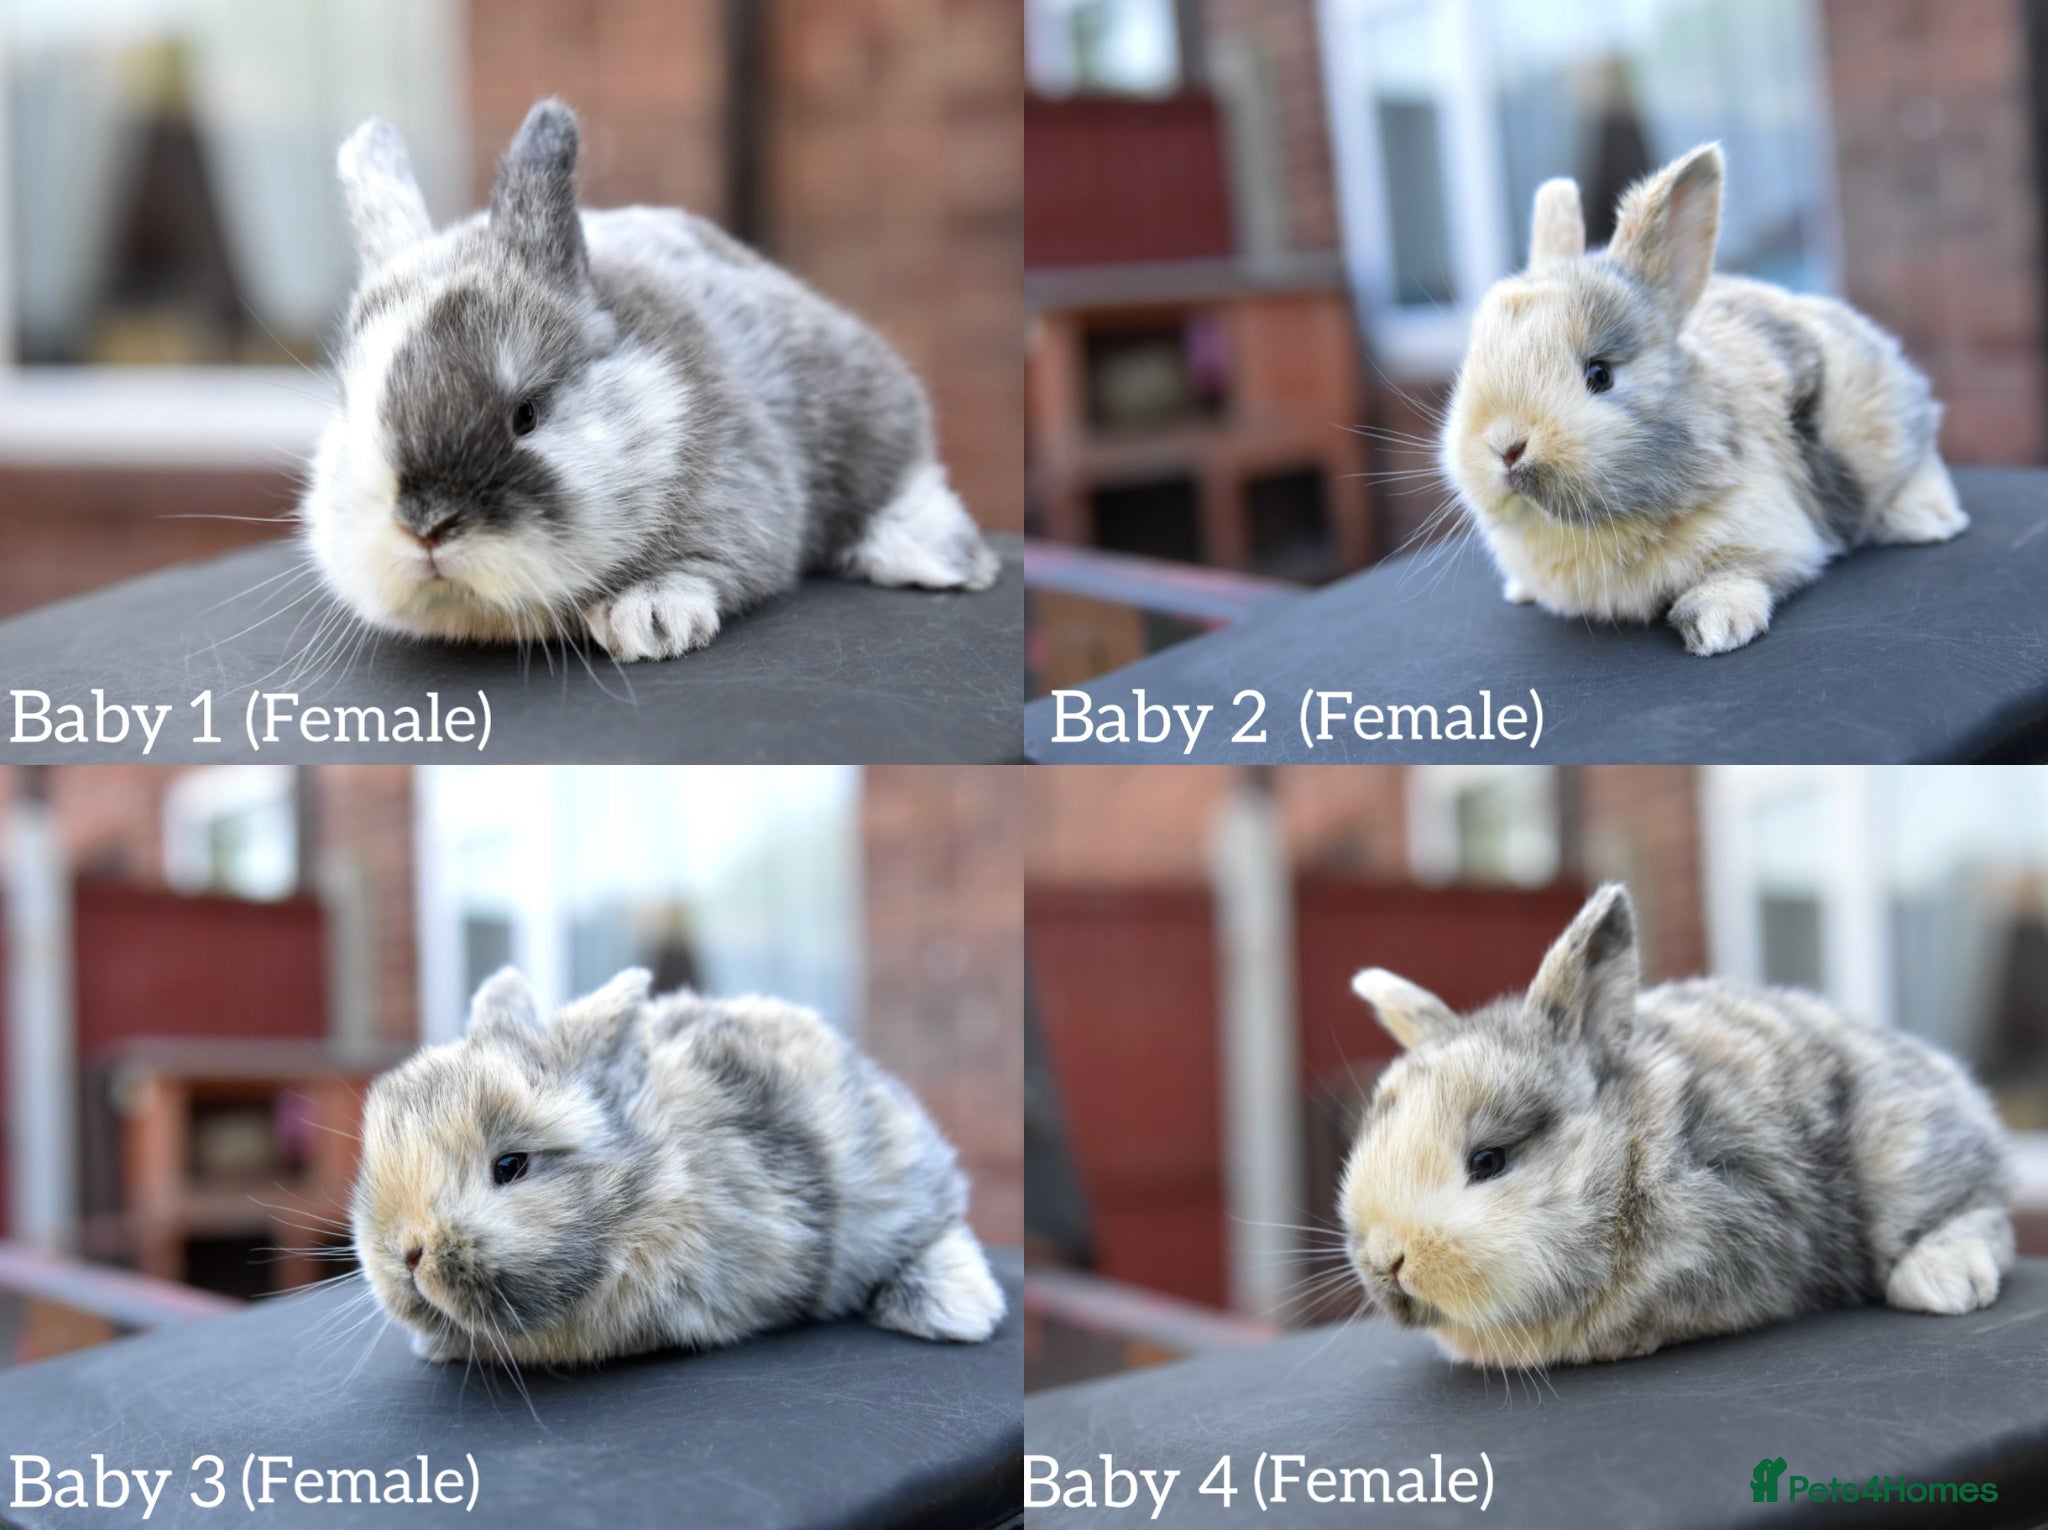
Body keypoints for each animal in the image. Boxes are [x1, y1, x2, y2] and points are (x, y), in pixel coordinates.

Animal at [303, 98, 998, 663]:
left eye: (526, 414)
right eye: (351, 414)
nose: (425, 526)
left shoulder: (746, 490)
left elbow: (718, 561)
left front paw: (650, 620)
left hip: (861, 403)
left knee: (905, 476)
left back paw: (948, 561)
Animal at [1341, 883, 2012, 1368]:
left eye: (1488, 1161)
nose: (1387, 1261)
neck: (1627, 1159)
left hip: (1905, 1156)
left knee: (1984, 1216)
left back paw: (1943, 1281)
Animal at [1442, 143, 1964, 656]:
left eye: (1600, 375)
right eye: (1472, 362)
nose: (1506, 447)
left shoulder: (1764, 533)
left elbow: (1737, 573)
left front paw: (1717, 627)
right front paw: (1520, 590)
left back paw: (1927, 521)